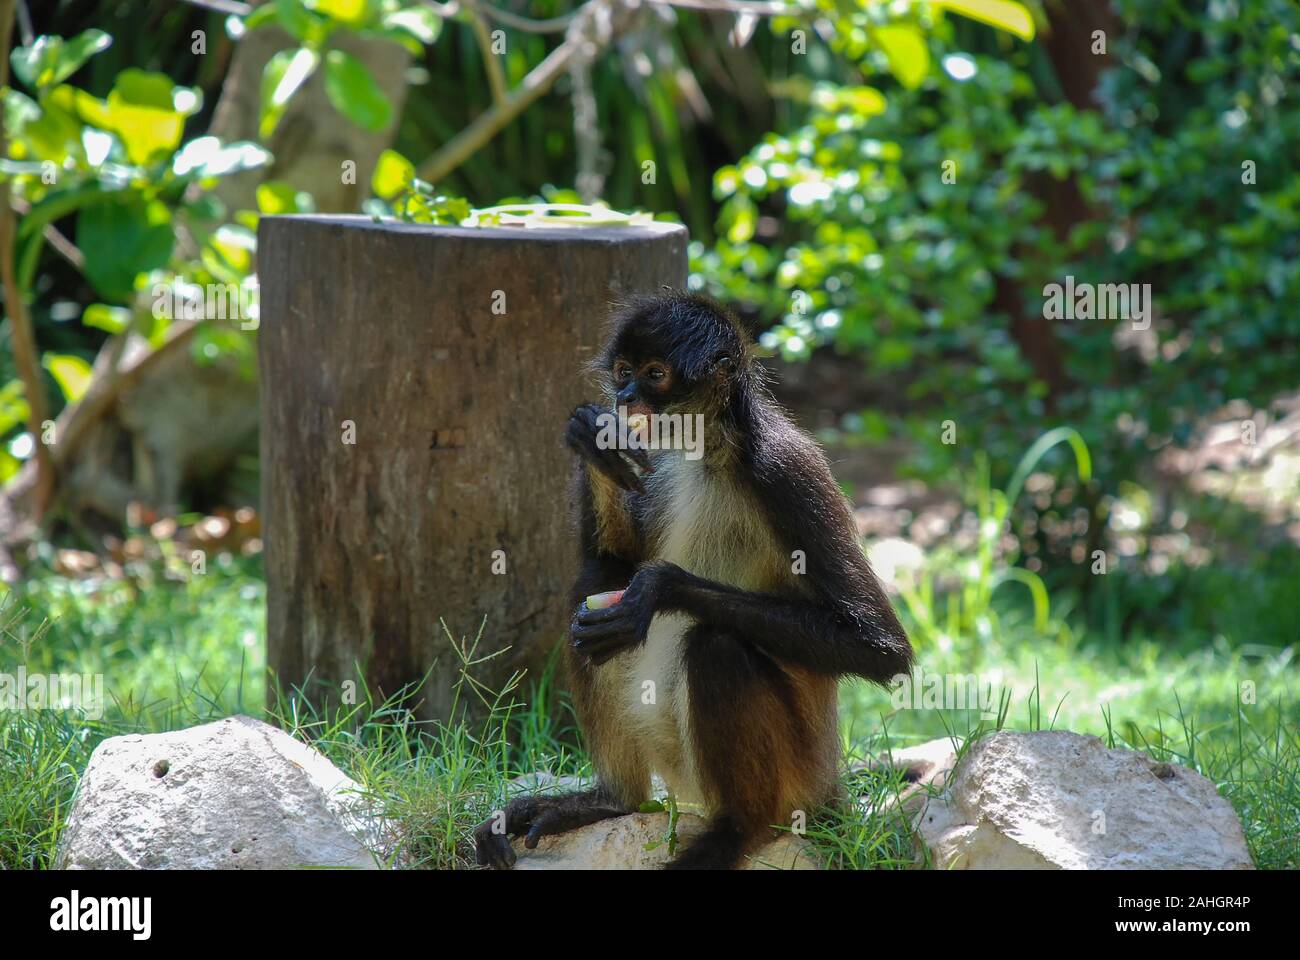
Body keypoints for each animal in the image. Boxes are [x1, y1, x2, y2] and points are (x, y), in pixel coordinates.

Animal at [474, 291, 913, 869]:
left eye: (655, 375)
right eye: (623, 372)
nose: (626, 397)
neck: (704, 452)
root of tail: (830, 786)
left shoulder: (783, 469)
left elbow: (881, 648)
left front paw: (660, 590)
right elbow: (609, 561)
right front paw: (594, 438)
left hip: (795, 775)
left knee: (716, 646)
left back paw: (738, 830)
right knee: (589, 588)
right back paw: (611, 800)